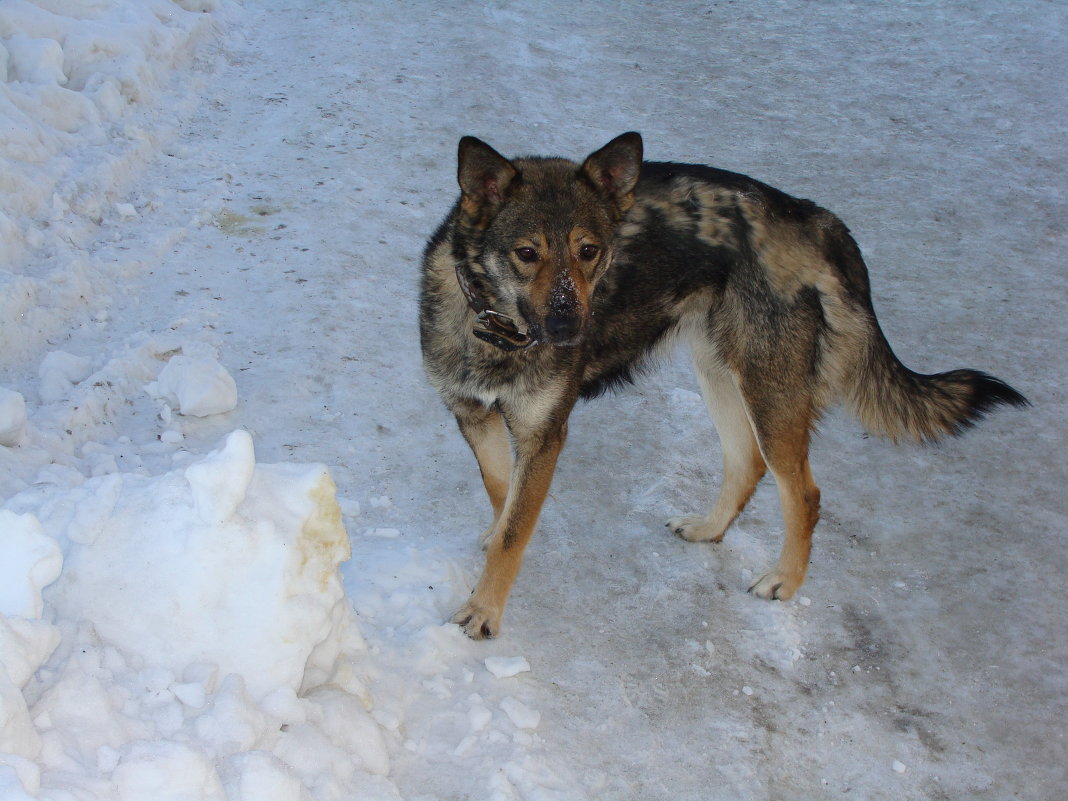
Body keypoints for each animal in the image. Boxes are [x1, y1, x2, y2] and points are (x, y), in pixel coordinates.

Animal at [416, 135, 1025, 645]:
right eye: (526, 253)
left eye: (589, 251)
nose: (570, 330)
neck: (499, 331)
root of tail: (814, 216)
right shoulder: (474, 416)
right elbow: (503, 494)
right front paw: (495, 537)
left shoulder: (546, 433)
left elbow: (515, 531)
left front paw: (484, 611)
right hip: (719, 374)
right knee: (746, 463)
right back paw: (710, 529)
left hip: (769, 390)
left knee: (804, 492)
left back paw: (784, 580)